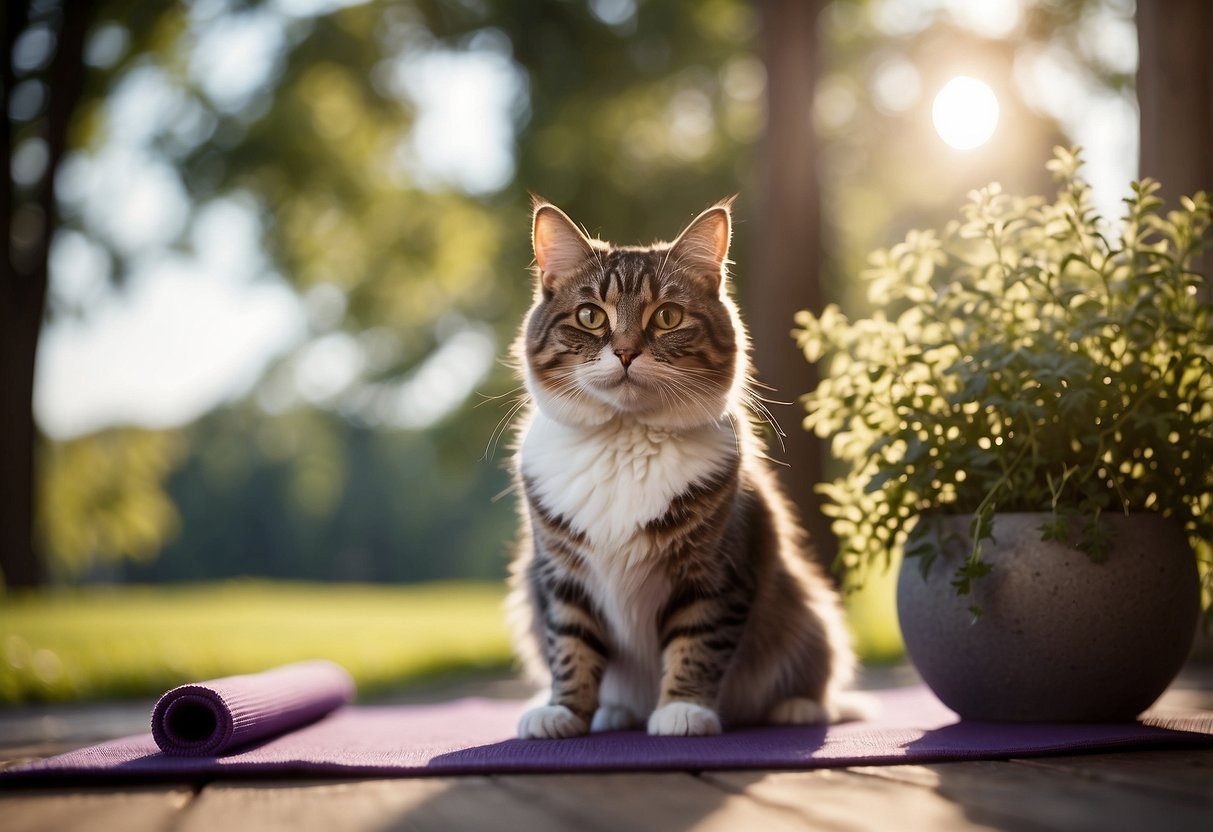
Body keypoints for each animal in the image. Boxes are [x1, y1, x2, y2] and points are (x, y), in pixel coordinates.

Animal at [507, 198, 858, 742]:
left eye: (668, 316)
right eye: (590, 316)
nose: (626, 352)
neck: (625, 440)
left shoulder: (715, 574)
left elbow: (697, 645)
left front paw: (682, 710)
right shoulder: (561, 578)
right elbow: (570, 648)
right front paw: (563, 711)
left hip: (806, 611)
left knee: (812, 677)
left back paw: (797, 707)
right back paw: (613, 712)